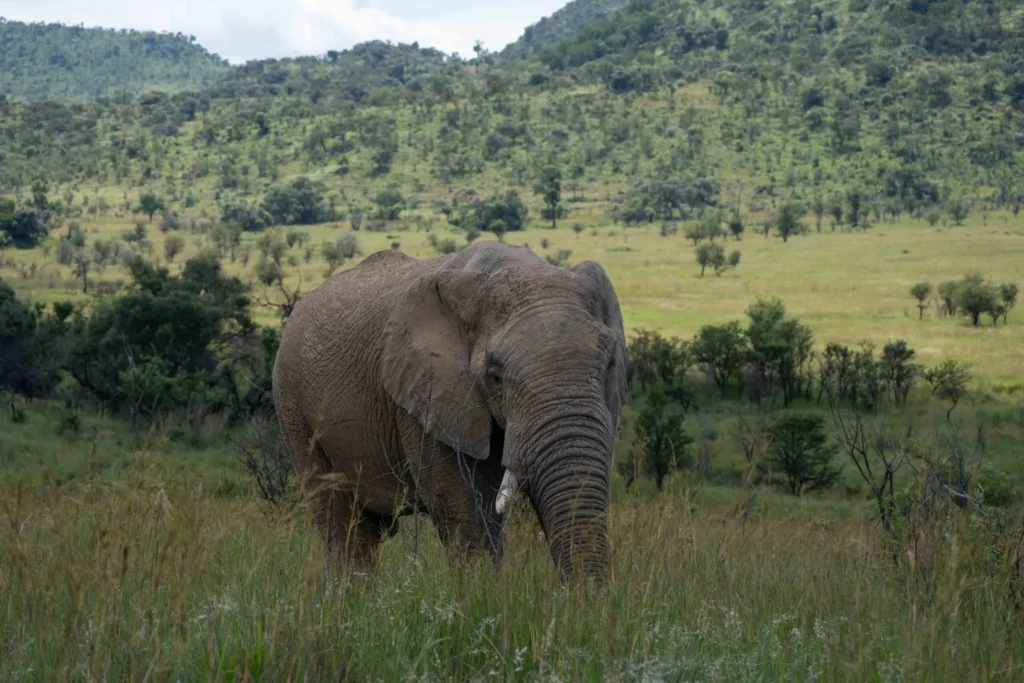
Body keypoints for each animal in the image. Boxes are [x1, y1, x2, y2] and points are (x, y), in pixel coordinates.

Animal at [272, 240, 627, 581]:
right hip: (293, 406)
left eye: (610, 364)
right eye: (494, 377)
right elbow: (469, 512)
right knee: (342, 524)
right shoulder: (427, 395)